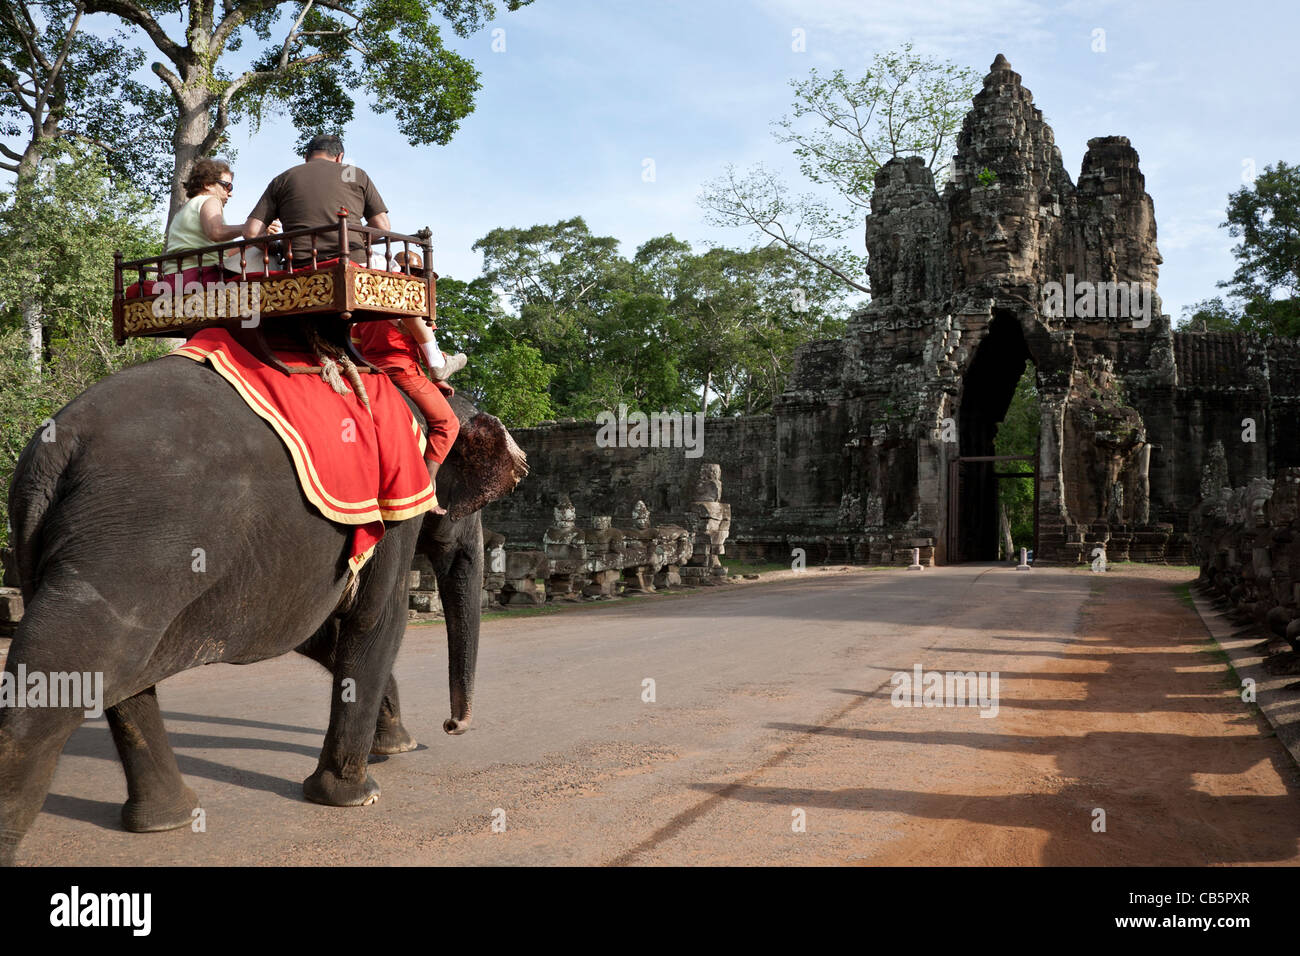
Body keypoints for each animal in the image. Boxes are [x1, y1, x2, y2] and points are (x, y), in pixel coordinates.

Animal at [1, 351, 527, 868]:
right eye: (477, 507)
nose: (452, 727)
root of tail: (54, 448)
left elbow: (320, 631)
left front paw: (393, 746)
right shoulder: (398, 501)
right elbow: (377, 619)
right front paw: (359, 794)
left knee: (120, 670)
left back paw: (167, 820)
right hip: (130, 543)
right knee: (64, 670)